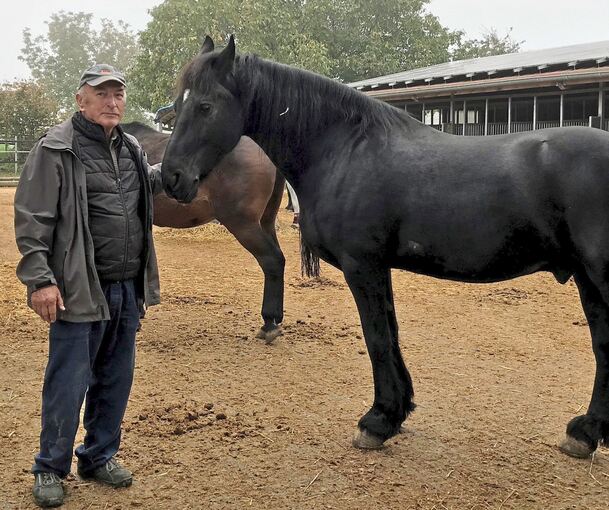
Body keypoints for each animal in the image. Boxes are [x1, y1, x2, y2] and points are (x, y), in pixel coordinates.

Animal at [163, 35, 609, 456]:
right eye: (177, 103)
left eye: (204, 106)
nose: (171, 178)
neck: (345, 150)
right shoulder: (379, 268)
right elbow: (390, 336)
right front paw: (396, 412)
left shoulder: (364, 266)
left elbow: (377, 338)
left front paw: (378, 422)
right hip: (589, 280)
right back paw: (585, 434)